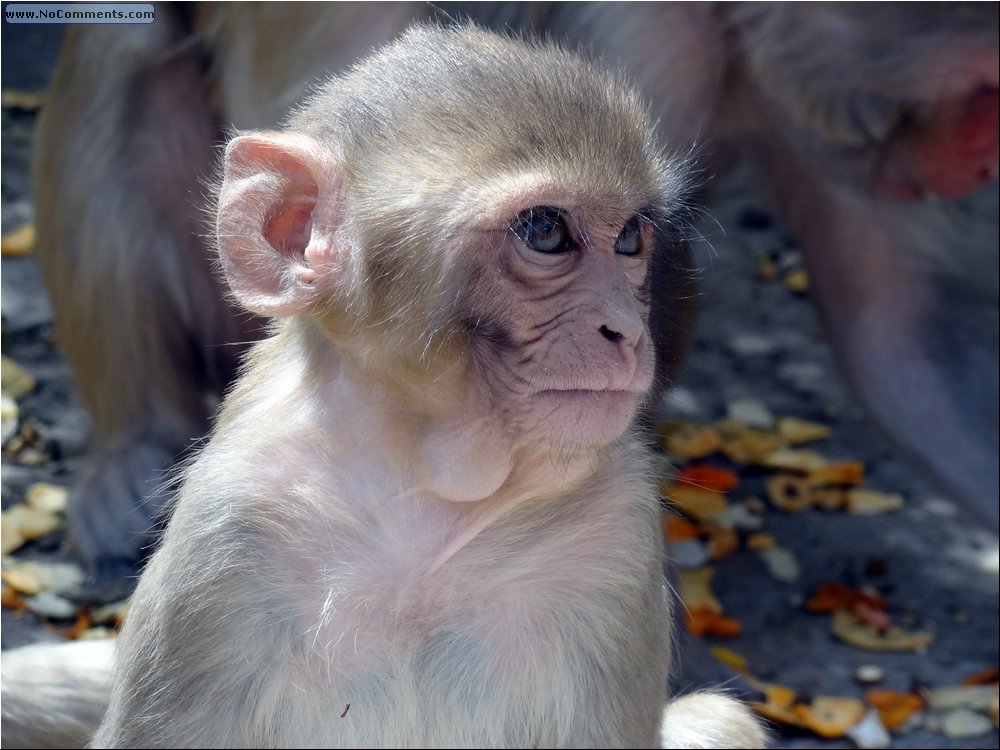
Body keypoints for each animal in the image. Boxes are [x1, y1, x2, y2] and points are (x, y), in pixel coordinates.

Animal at [9, 23, 764, 750]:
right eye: (545, 230)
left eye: (630, 238)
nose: (627, 331)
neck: (423, 500)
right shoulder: (227, 535)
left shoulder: (616, 538)